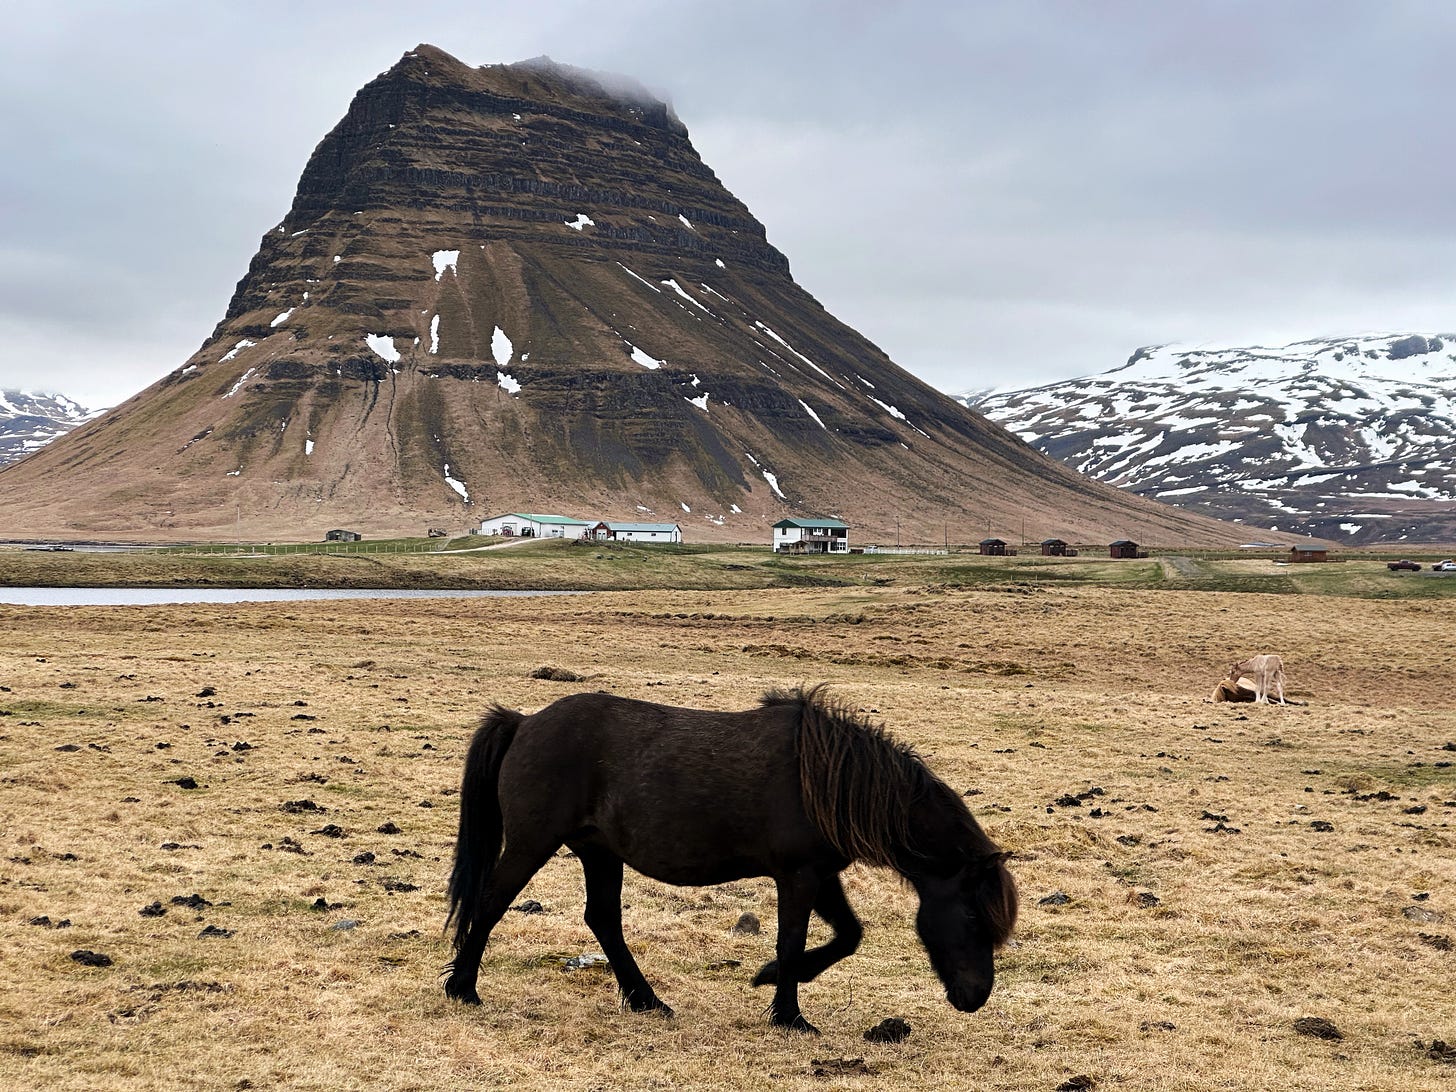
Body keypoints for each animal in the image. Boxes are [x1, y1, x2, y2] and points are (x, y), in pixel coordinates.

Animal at [439, 687, 1013, 1030]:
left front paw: (771, 979)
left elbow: (848, 936)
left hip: (600, 853)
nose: (975, 996)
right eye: (970, 916)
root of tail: (524, 722)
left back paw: (647, 1000)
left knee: (602, 919)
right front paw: (788, 1014)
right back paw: (463, 989)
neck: (828, 780)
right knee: (490, 904)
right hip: (533, 844)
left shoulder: (821, 876)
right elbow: (793, 940)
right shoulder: (798, 876)